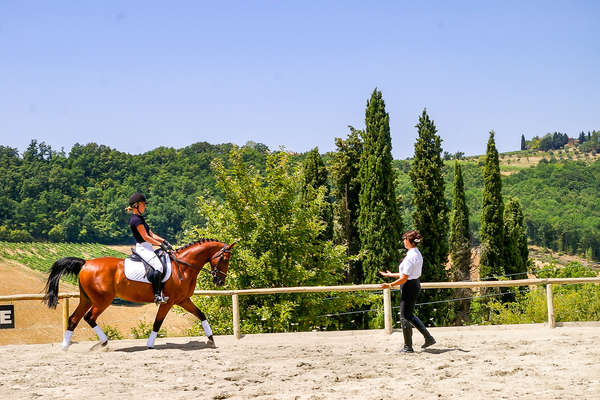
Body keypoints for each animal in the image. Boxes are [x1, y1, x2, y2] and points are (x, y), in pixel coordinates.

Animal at [41, 239, 234, 348]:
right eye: (225, 259)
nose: (220, 281)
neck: (183, 266)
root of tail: (86, 263)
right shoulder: (168, 302)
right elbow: (157, 323)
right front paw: (150, 344)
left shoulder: (183, 300)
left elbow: (201, 315)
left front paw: (211, 339)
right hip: (102, 300)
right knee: (89, 317)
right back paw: (104, 343)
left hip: (87, 299)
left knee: (74, 318)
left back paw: (66, 347)